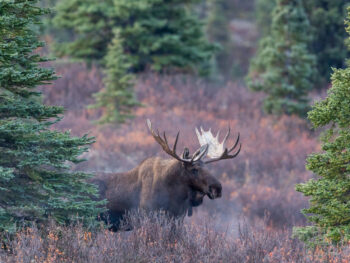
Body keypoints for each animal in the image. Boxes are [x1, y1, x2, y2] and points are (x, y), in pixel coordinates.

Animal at [91, 119, 242, 231]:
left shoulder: (177, 220)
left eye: (207, 167)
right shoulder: (148, 218)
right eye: (194, 169)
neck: (176, 197)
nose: (217, 188)